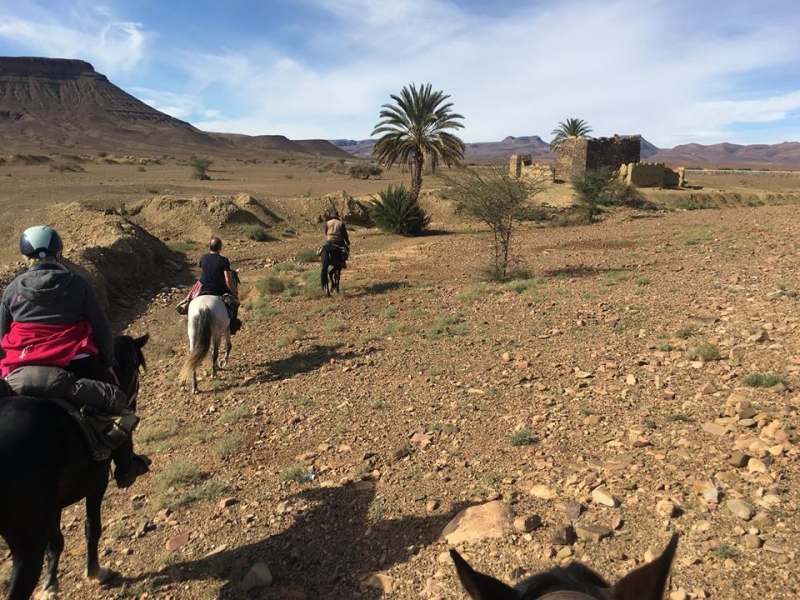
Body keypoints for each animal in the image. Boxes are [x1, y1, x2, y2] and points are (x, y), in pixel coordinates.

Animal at [0, 332, 148, 600]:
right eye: (135, 364)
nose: (132, 403)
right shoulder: (96, 484)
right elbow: (92, 528)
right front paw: (95, 572)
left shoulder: (53, 507)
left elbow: (56, 542)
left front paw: (50, 585)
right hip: (27, 546)